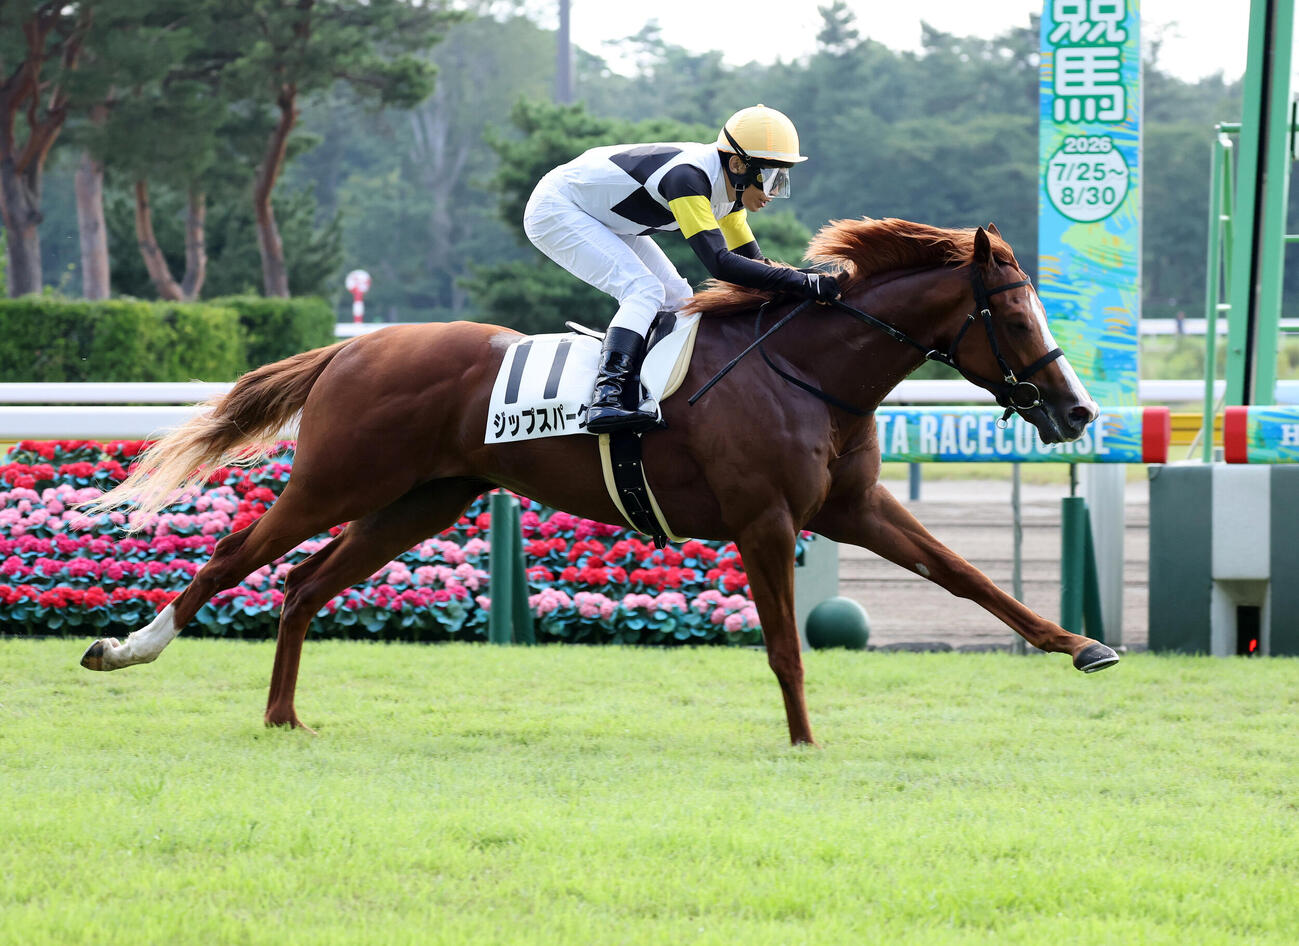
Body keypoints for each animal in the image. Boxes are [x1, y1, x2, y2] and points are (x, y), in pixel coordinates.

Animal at [79, 217, 1118, 746]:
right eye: (1014, 317)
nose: (1076, 414)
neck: (806, 370)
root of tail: (351, 349)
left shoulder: (852, 507)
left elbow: (966, 577)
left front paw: (1081, 645)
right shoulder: (764, 519)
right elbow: (786, 645)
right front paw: (803, 739)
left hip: (422, 499)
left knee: (301, 583)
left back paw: (284, 714)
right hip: (339, 480)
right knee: (234, 551)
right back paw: (127, 648)